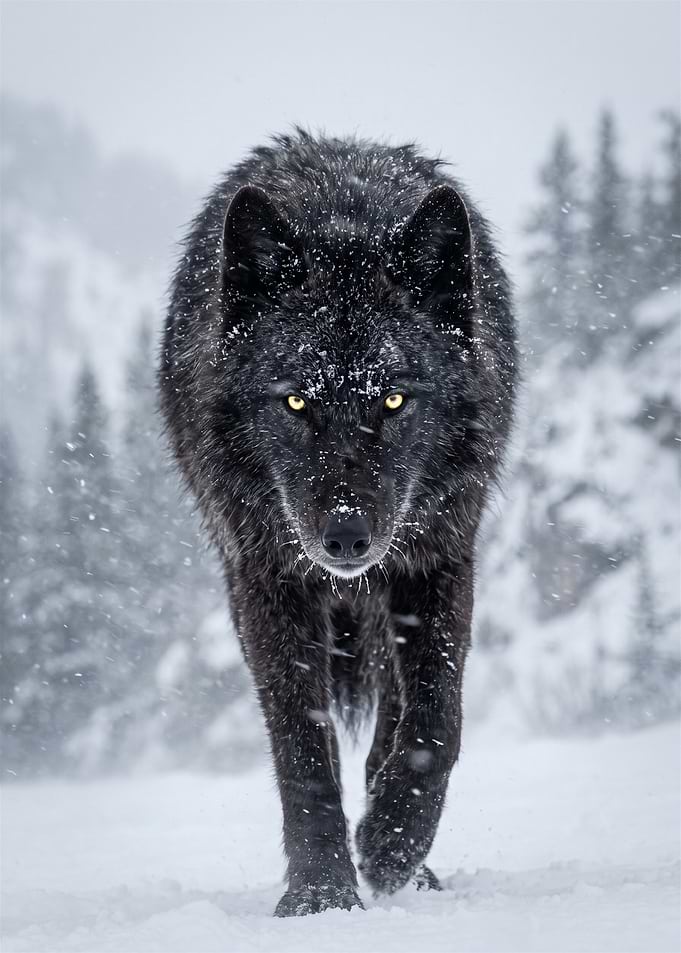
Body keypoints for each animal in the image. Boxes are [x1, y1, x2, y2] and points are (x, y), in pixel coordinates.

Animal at [159, 129, 516, 916]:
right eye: (296, 401)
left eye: (393, 399)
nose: (347, 537)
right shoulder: (267, 583)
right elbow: (301, 748)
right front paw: (321, 891)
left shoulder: (439, 558)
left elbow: (435, 720)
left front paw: (390, 843)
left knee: (399, 706)